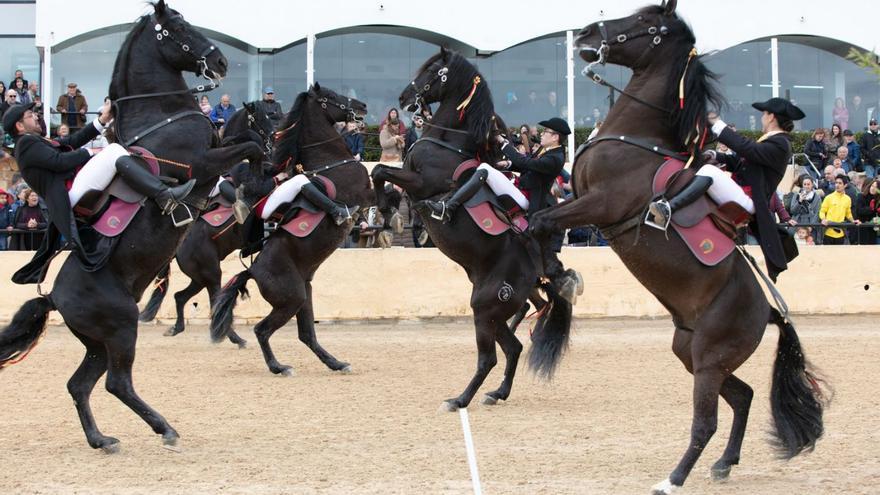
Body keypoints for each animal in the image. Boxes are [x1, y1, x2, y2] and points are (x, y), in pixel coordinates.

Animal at [138, 102, 276, 346]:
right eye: (261, 117)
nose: (272, 139)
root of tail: (177, 249)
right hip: (211, 273)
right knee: (215, 302)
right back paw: (234, 337)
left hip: (199, 276)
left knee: (180, 296)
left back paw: (177, 328)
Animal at [211, 84, 372, 376]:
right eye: (331, 97)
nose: (362, 106)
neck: (330, 160)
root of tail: (253, 270)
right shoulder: (362, 191)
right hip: (292, 299)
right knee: (262, 330)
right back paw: (278, 367)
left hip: (304, 295)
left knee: (307, 335)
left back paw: (337, 363)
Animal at [370, 50, 572, 412]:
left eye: (433, 71)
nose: (405, 99)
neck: (449, 145)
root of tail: (534, 270)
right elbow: (380, 173)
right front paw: (388, 212)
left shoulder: (422, 183)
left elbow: (380, 171)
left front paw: (389, 213)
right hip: (491, 313)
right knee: (514, 347)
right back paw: (497, 393)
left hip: (485, 308)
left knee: (489, 358)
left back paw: (459, 400)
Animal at [524, 2, 828, 492]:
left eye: (646, 23)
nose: (586, 34)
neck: (636, 139)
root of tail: (768, 312)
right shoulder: (577, 200)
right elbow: (538, 225)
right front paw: (558, 278)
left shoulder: (601, 205)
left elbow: (540, 224)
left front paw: (563, 281)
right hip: (691, 354)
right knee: (743, 396)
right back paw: (723, 464)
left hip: (708, 361)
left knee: (706, 422)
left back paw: (674, 478)